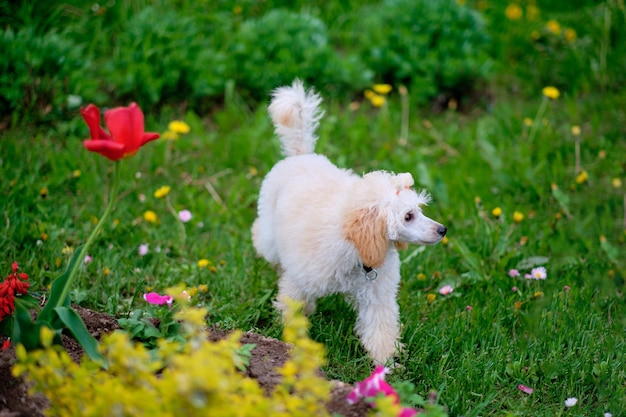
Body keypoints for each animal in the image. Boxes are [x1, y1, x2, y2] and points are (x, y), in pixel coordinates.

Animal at [251, 81, 446, 364]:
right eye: (408, 216)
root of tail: (301, 154)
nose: (443, 230)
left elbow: (380, 330)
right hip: (268, 233)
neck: (356, 249)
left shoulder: (377, 297)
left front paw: (387, 364)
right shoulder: (300, 279)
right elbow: (291, 305)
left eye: (419, 211)